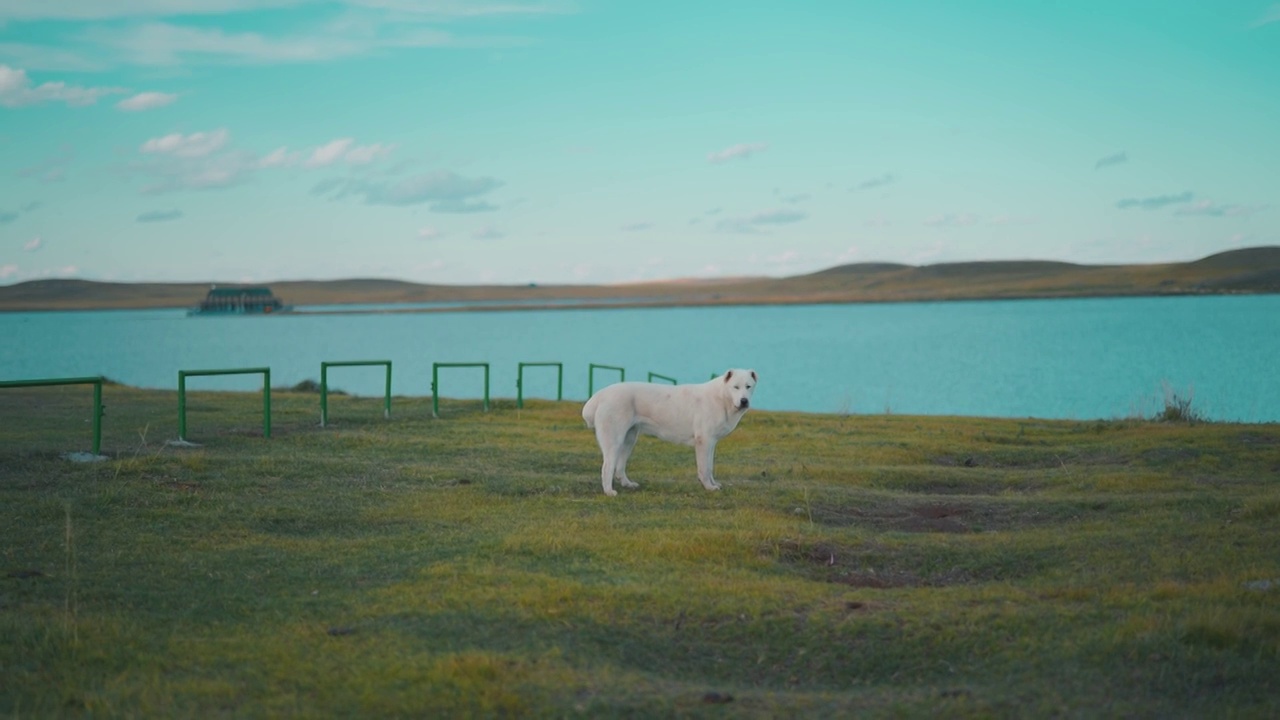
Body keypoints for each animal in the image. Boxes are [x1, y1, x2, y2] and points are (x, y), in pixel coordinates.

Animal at [583, 368, 752, 491]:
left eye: (748, 386)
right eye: (735, 387)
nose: (744, 401)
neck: (722, 397)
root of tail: (601, 394)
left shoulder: (711, 442)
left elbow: (709, 466)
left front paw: (713, 484)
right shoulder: (704, 441)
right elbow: (704, 468)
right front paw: (709, 487)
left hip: (629, 440)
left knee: (619, 467)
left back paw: (627, 484)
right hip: (614, 440)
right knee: (607, 467)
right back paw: (609, 492)